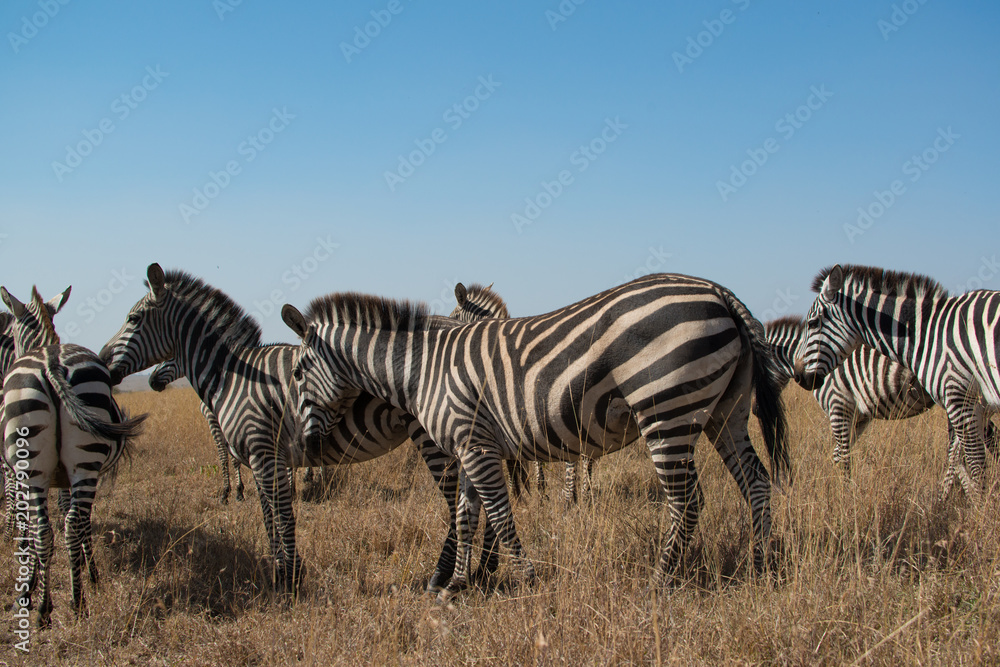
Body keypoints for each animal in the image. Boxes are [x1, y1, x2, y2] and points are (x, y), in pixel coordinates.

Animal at [2, 287, 145, 628]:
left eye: (10, 333)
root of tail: (51, 362)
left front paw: (30, 585)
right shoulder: (61, 476)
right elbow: (67, 523)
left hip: (44, 465)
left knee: (54, 527)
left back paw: (56, 604)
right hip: (81, 464)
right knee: (64, 525)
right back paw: (71, 602)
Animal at [148, 360, 245, 503]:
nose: (152, 381)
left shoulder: (213, 420)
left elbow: (225, 457)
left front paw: (229, 492)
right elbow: (232, 457)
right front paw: (238, 491)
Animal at [281, 272, 789, 599]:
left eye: (299, 371)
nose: (307, 444)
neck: (422, 369)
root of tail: (717, 290)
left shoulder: (476, 445)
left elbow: (500, 516)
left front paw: (525, 579)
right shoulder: (470, 446)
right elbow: (466, 516)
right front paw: (456, 586)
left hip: (666, 409)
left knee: (686, 500)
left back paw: (660, 583)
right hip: (725, 412)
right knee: (756, 482)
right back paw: (761, 566)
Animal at [794, 264, 1000, 500]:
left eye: (812, 323)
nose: (799, 376)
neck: (926, 333)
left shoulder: (960, 397)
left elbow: (974, 464)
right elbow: (961, 457)